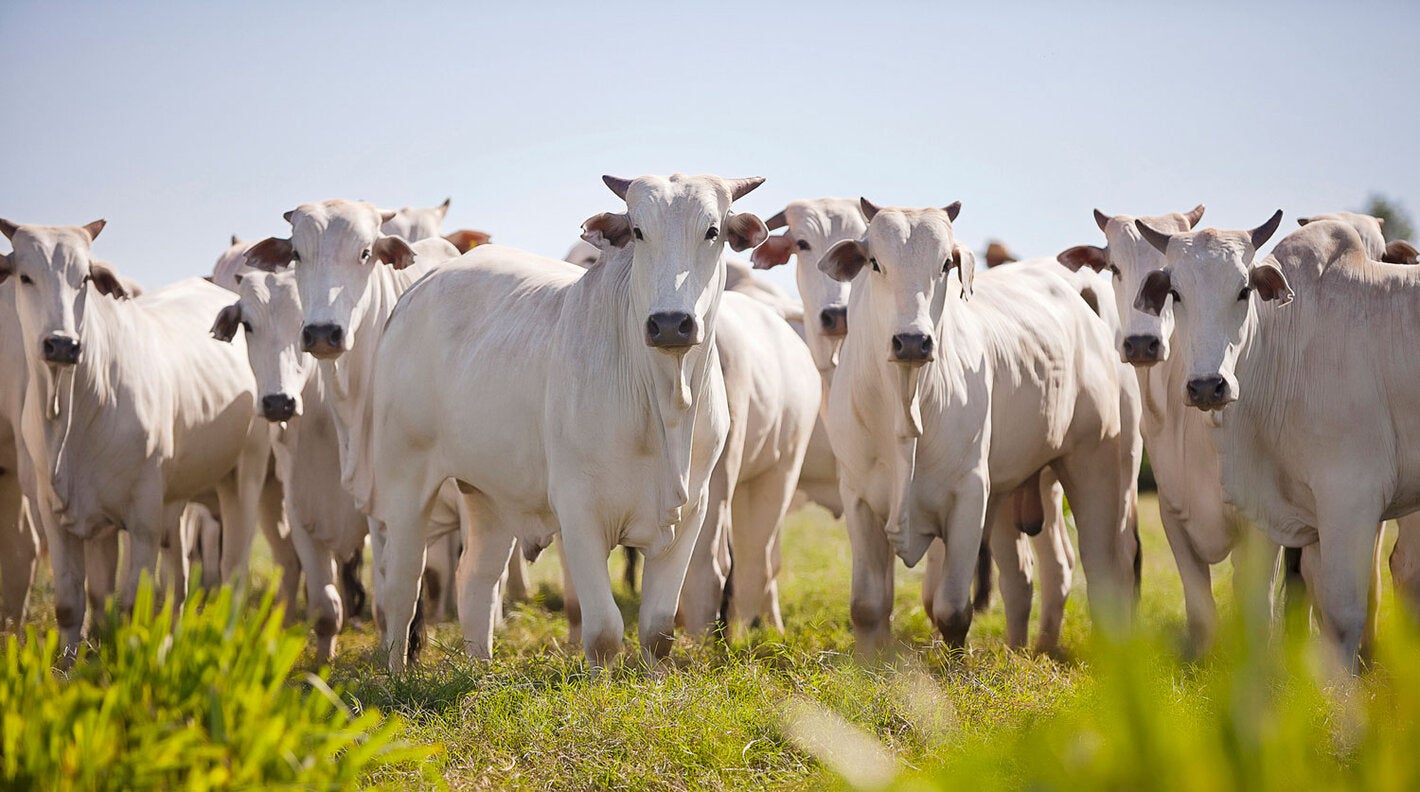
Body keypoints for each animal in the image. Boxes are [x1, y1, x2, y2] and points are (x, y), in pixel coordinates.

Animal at [0, 218, 269, 653]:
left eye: (84, 278)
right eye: (25, 276)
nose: (62, 344)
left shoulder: (141, 519)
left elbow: (130, 606)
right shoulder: (58, 516)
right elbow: (75, 605)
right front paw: (69, 664)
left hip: (245, 473)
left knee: (233, 570)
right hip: (175, 500)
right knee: (179, 580)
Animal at [361, 173, 764, 671]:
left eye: (712, 231)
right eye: (638, 231)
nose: (671, 323)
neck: (664, 405)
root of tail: (420, 289)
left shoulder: (691, 513)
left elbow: (657, 632)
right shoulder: (579, 511)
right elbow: (604, 632)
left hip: (488, 493)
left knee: (475, 578)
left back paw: (481, 671)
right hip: (405, 481)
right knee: (401, 585)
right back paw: (396, 673)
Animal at [821, 200, 1135, 653]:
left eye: (945, 265)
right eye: (875, 263)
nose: (912, 341)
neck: (905, 406)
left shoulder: (970, 494)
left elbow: (952, 610)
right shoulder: (858, 497)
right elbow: (867, 606)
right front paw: (868, 663)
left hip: (1096, 465)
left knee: (1101, 569)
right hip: (1016, 489)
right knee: (1030, 575)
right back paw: (1027, 649)